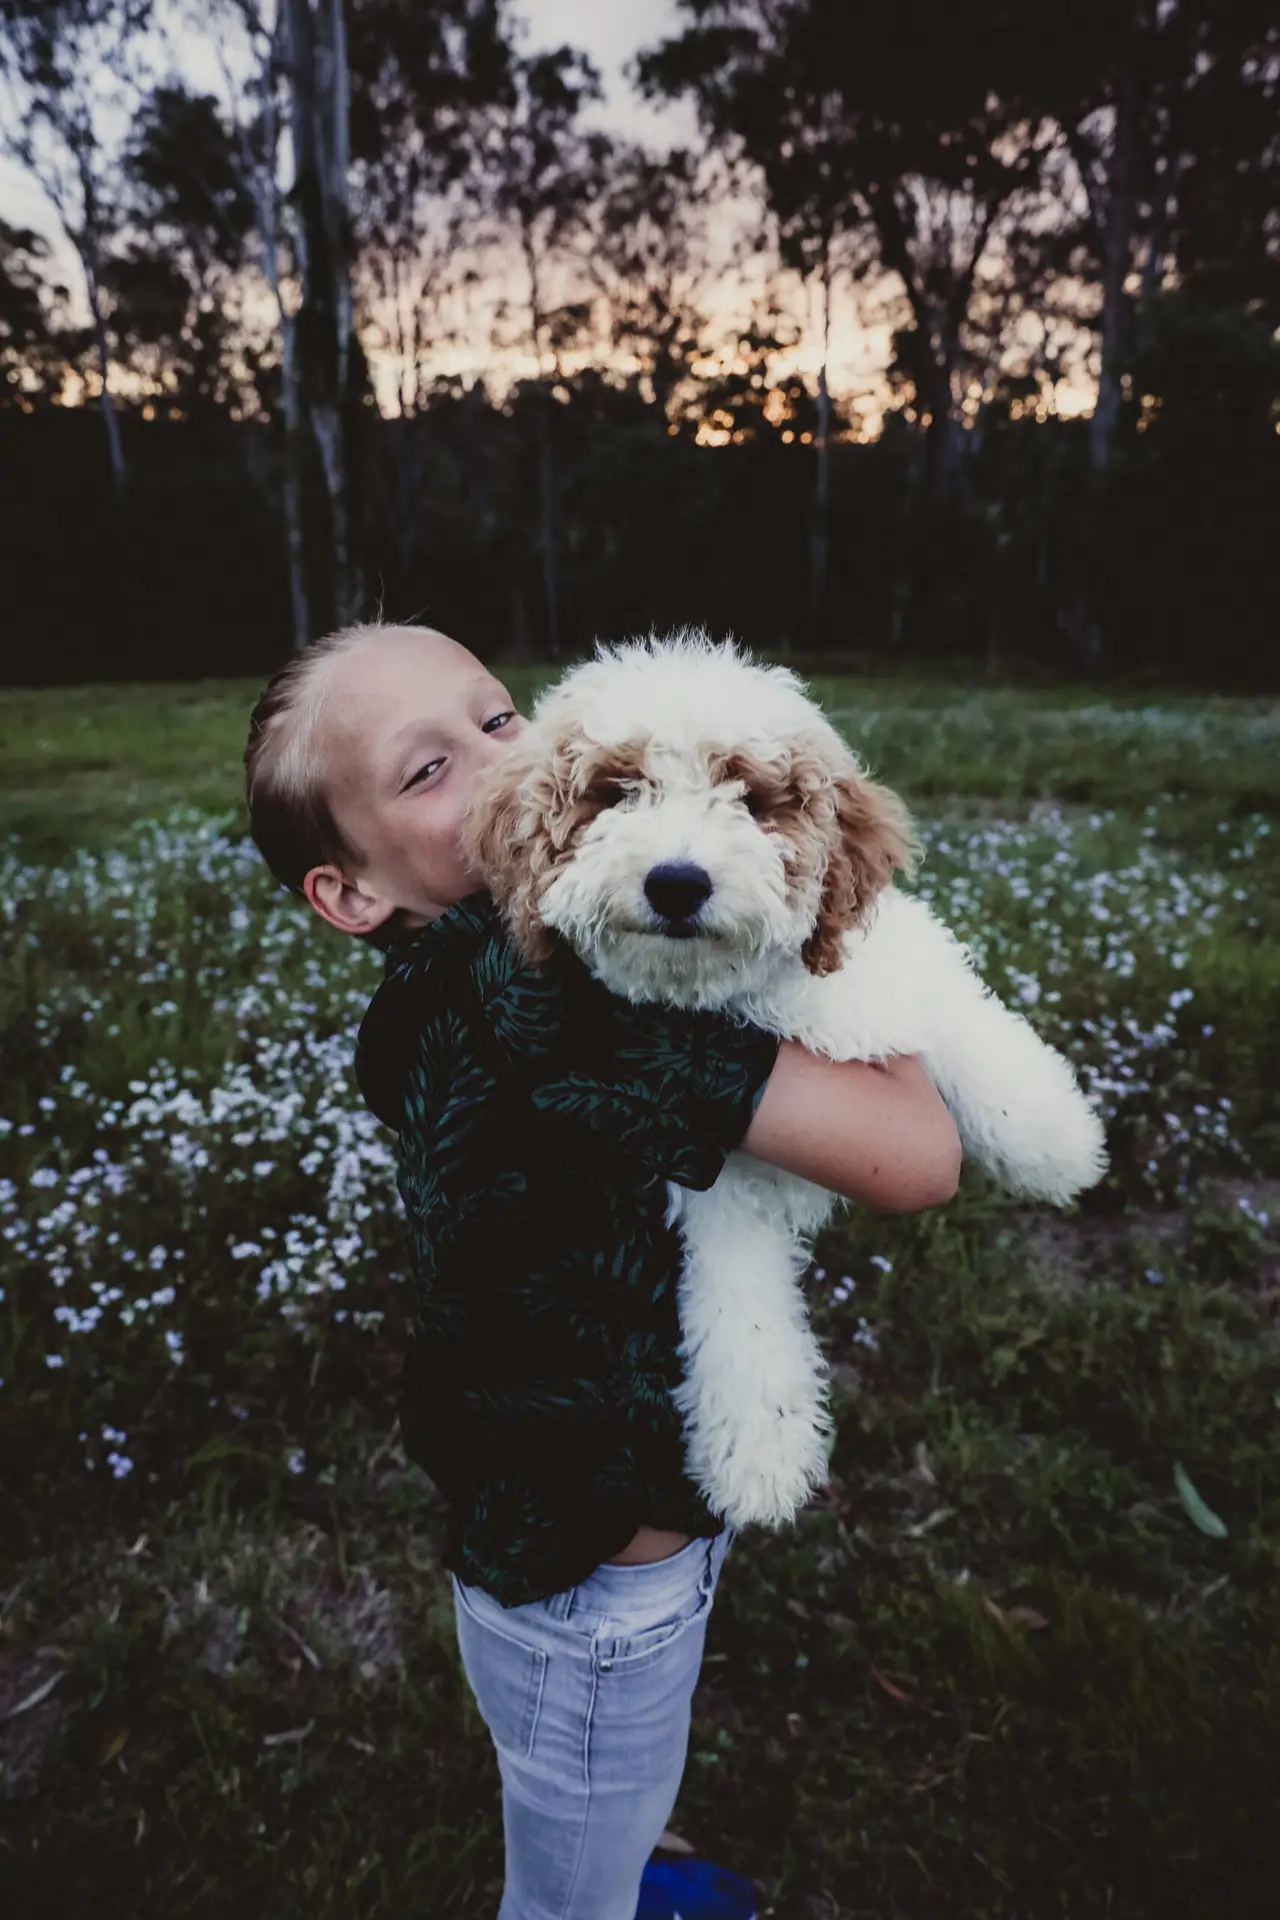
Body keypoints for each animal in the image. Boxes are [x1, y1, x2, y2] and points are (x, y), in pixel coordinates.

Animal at [462, 633, 1113, 1528]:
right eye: (616, 791)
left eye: (750, 795)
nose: (676, 882)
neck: (758, 998)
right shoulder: (714, 1166)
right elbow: (738, 1310)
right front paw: (760, 1454)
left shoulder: (894, 965)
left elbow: (968, 1028)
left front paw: (1057, 1140)